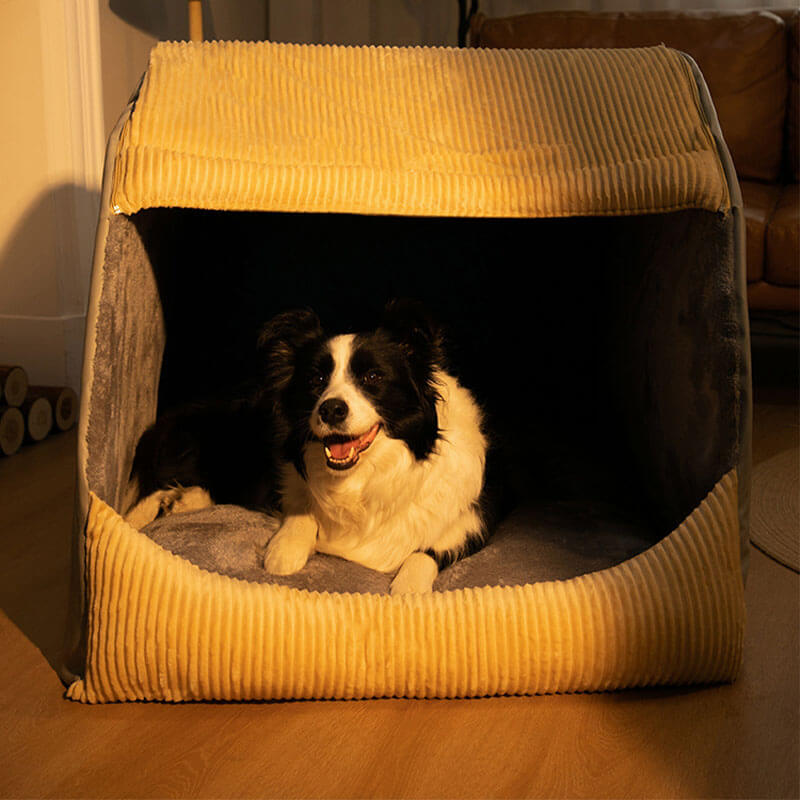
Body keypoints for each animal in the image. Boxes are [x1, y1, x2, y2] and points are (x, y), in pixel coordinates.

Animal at [124, 300, 490, 592]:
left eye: (373, 377)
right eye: (316, 380)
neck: (362, 479)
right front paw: (285, 551)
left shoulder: (474, 519)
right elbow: (301, 505)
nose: (331, 409)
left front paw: (408, 588)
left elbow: (426, 552)